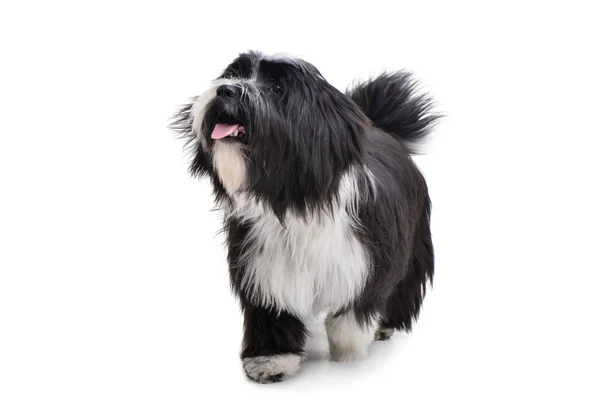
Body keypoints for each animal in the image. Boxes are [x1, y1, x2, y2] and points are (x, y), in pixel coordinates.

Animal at [171, 51, 438, 382]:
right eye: (234, 74)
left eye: (277, 88)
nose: (226, 90)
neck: (293, 202)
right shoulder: (261, 265)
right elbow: (272, 313)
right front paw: (271, 360)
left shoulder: (366, 264)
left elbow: (351, 316)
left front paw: (348, 357)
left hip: (414, 247)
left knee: (403, 288)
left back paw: (385, 326)